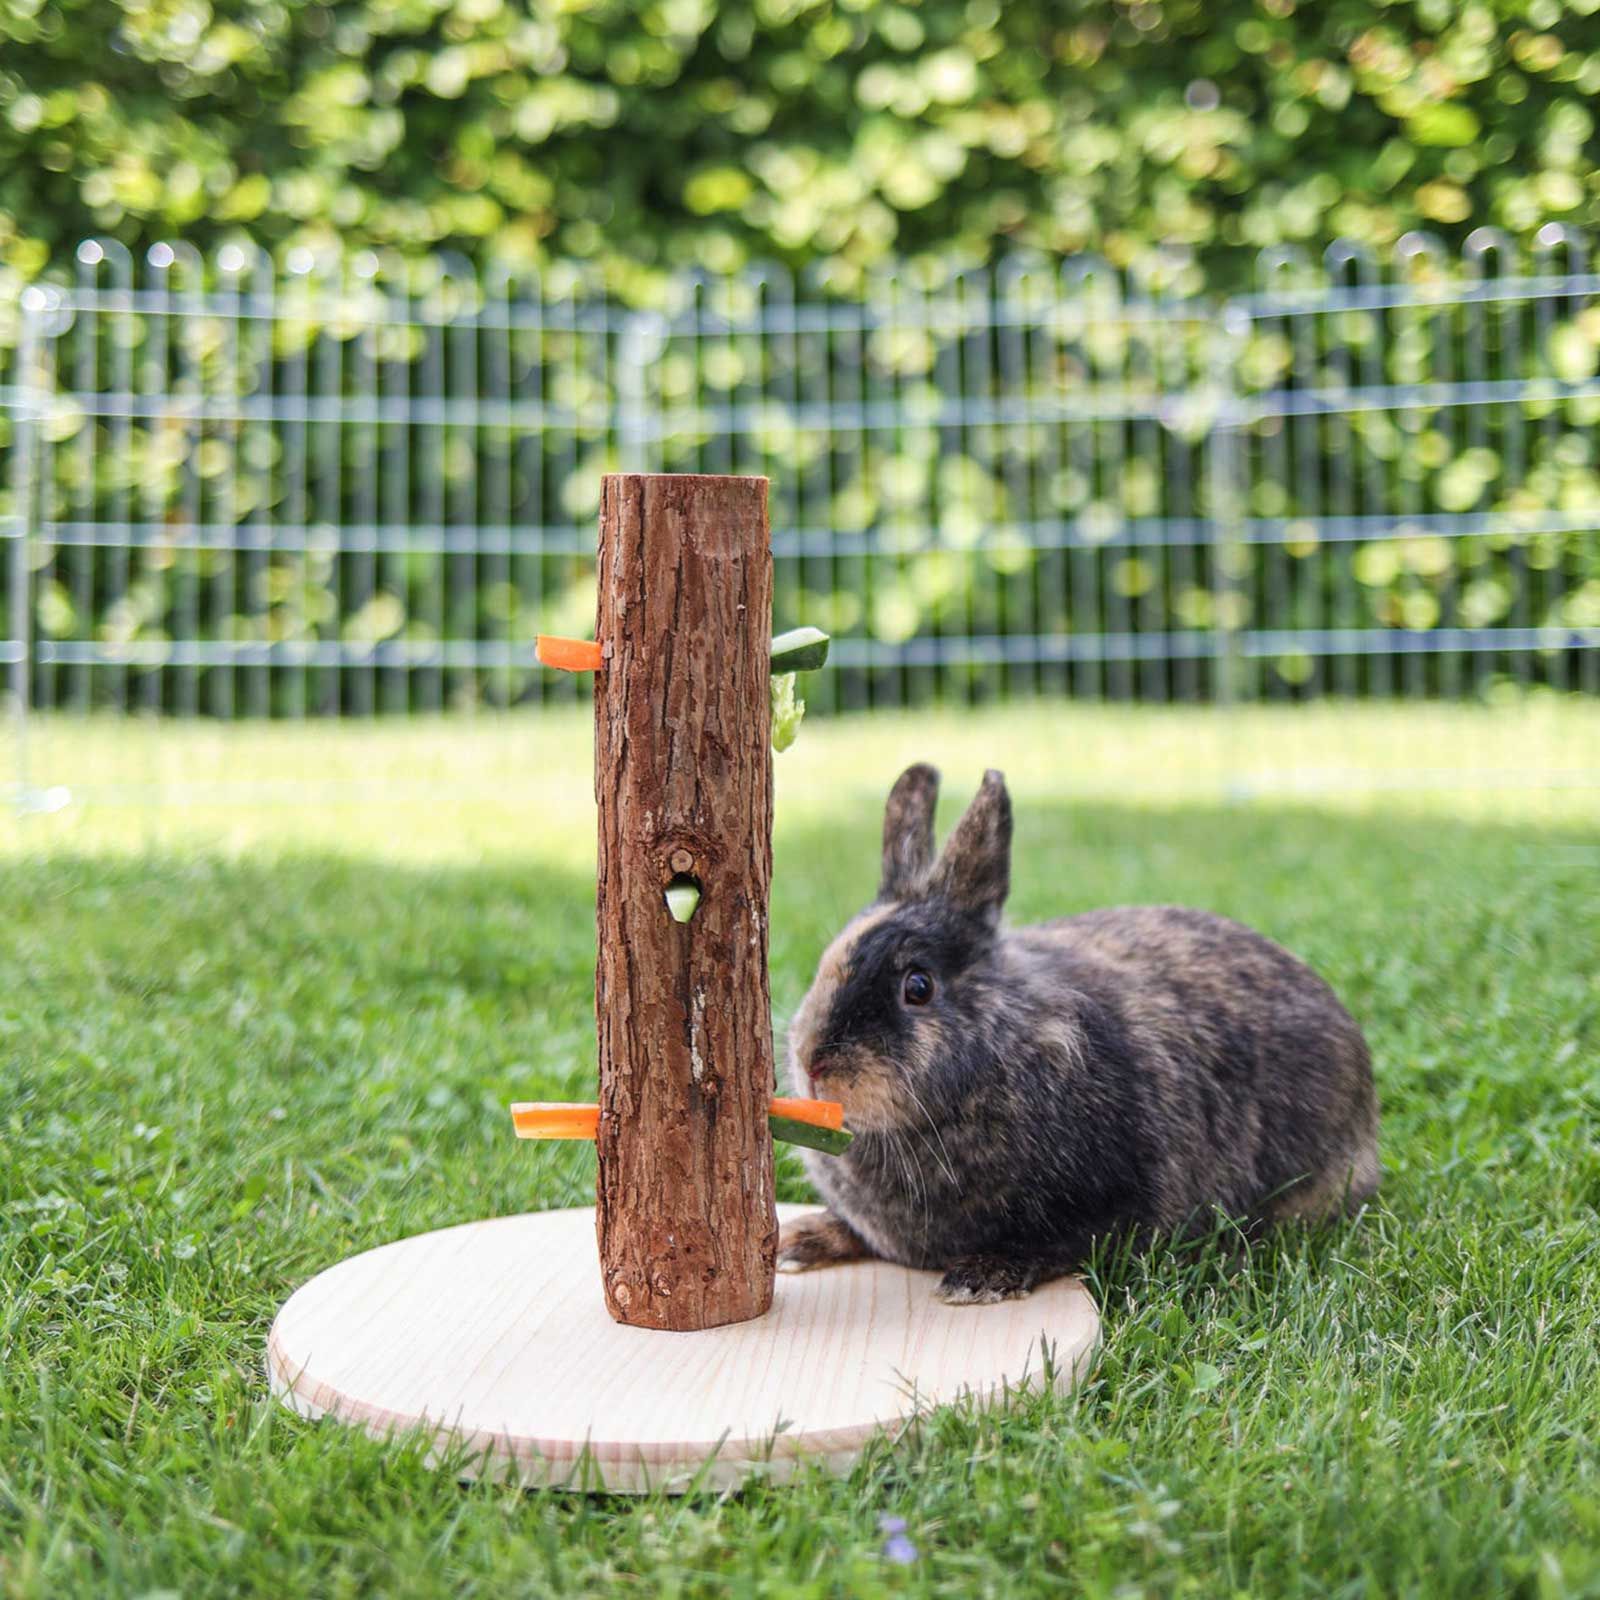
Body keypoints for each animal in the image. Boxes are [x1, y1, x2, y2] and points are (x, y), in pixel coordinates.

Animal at [778, 763, 1379, 1304]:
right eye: (828, 961)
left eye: (918, 986)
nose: (813, 1063)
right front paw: (798, 1240)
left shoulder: (1109, 1203)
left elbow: (1058, 1244)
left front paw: (980, 1278)